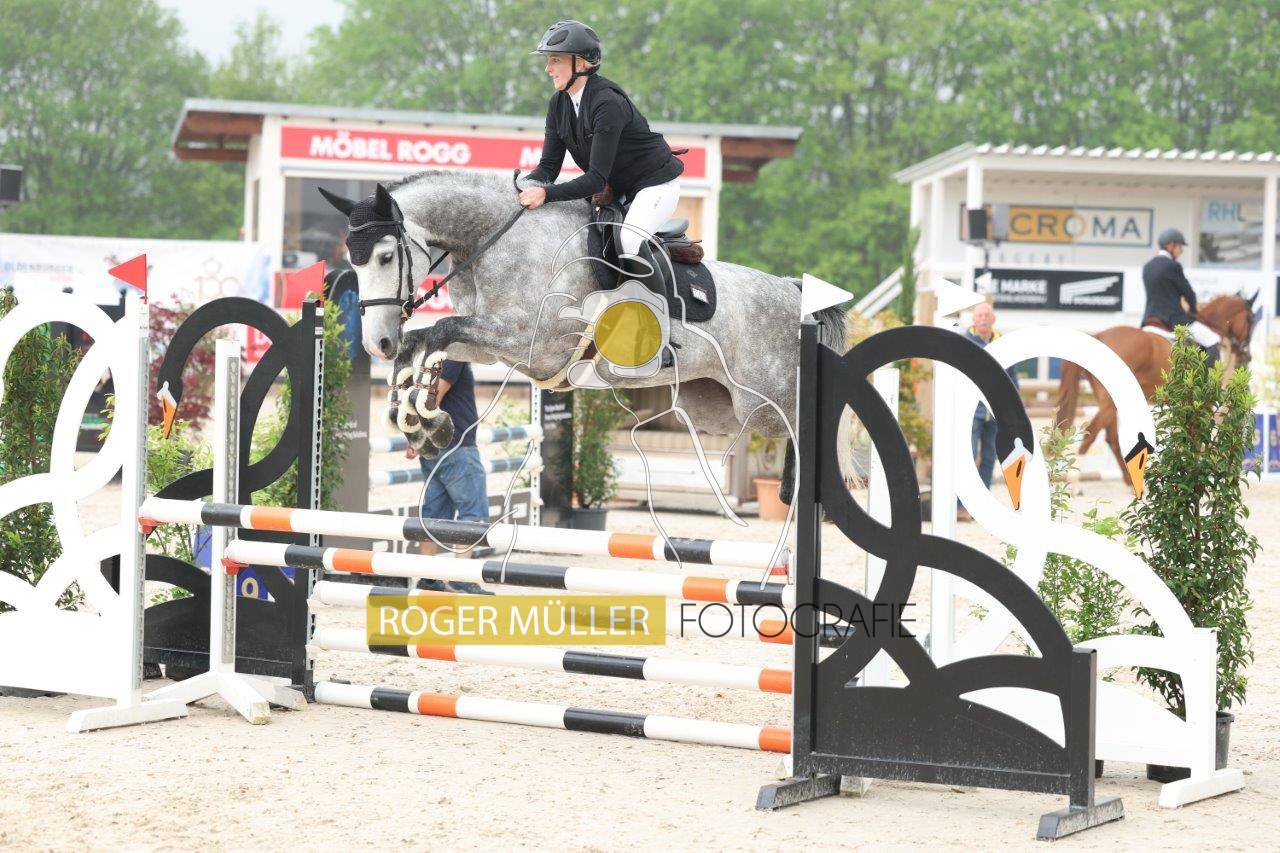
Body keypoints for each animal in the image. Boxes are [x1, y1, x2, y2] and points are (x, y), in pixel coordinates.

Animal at [319, 169, 848, 501]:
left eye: (386, 256)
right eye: (353, 262)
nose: (375, 343)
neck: (495, 240)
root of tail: (791, 290)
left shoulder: (531, 342)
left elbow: (440, 330)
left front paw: (427, 420)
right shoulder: (492, 344)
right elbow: (426, 346)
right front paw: (420, 422)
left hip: (764, 403)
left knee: (808, 429)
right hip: (717, 408)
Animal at [1053, 293, 1258, 485]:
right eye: (1250, 319)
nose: (1247, 356)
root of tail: (1099, 336)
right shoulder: (1204, 402)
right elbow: (1198, 437)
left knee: (1110, 438)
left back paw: (1129, 482)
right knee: (1092, 433)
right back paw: (1077, 484)